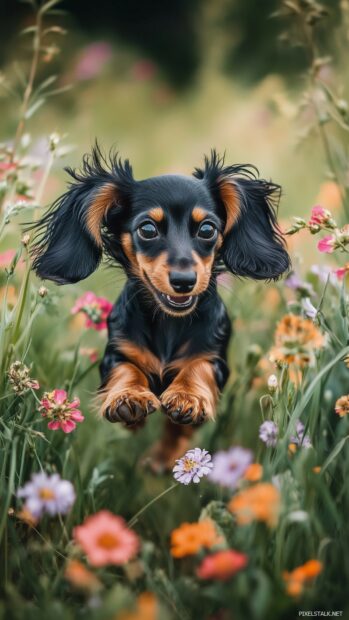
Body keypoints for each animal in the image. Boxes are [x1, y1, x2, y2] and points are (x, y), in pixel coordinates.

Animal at [30, 147, 288, 460]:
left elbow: (198, 368)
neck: (169, 322)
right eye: (148, 229)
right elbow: (126, 369)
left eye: (207, 230)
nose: (184, 281)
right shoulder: (116, 353)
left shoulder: (216, 359)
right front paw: (129, 397)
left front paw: (187, 396)